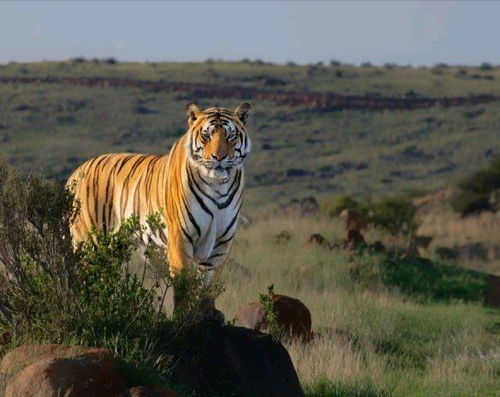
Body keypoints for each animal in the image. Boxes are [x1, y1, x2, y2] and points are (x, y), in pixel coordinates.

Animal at [66, 102, 252, 318]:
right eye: (206, 136)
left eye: (230, 136)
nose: (219, 157)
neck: (218, 185)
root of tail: (75, 172)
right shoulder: (181, 236)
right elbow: (183, 283)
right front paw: (183, 315)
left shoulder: (222, 241)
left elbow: (210, 282)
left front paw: (209, 313)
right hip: (88, 243)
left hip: (113, 248)